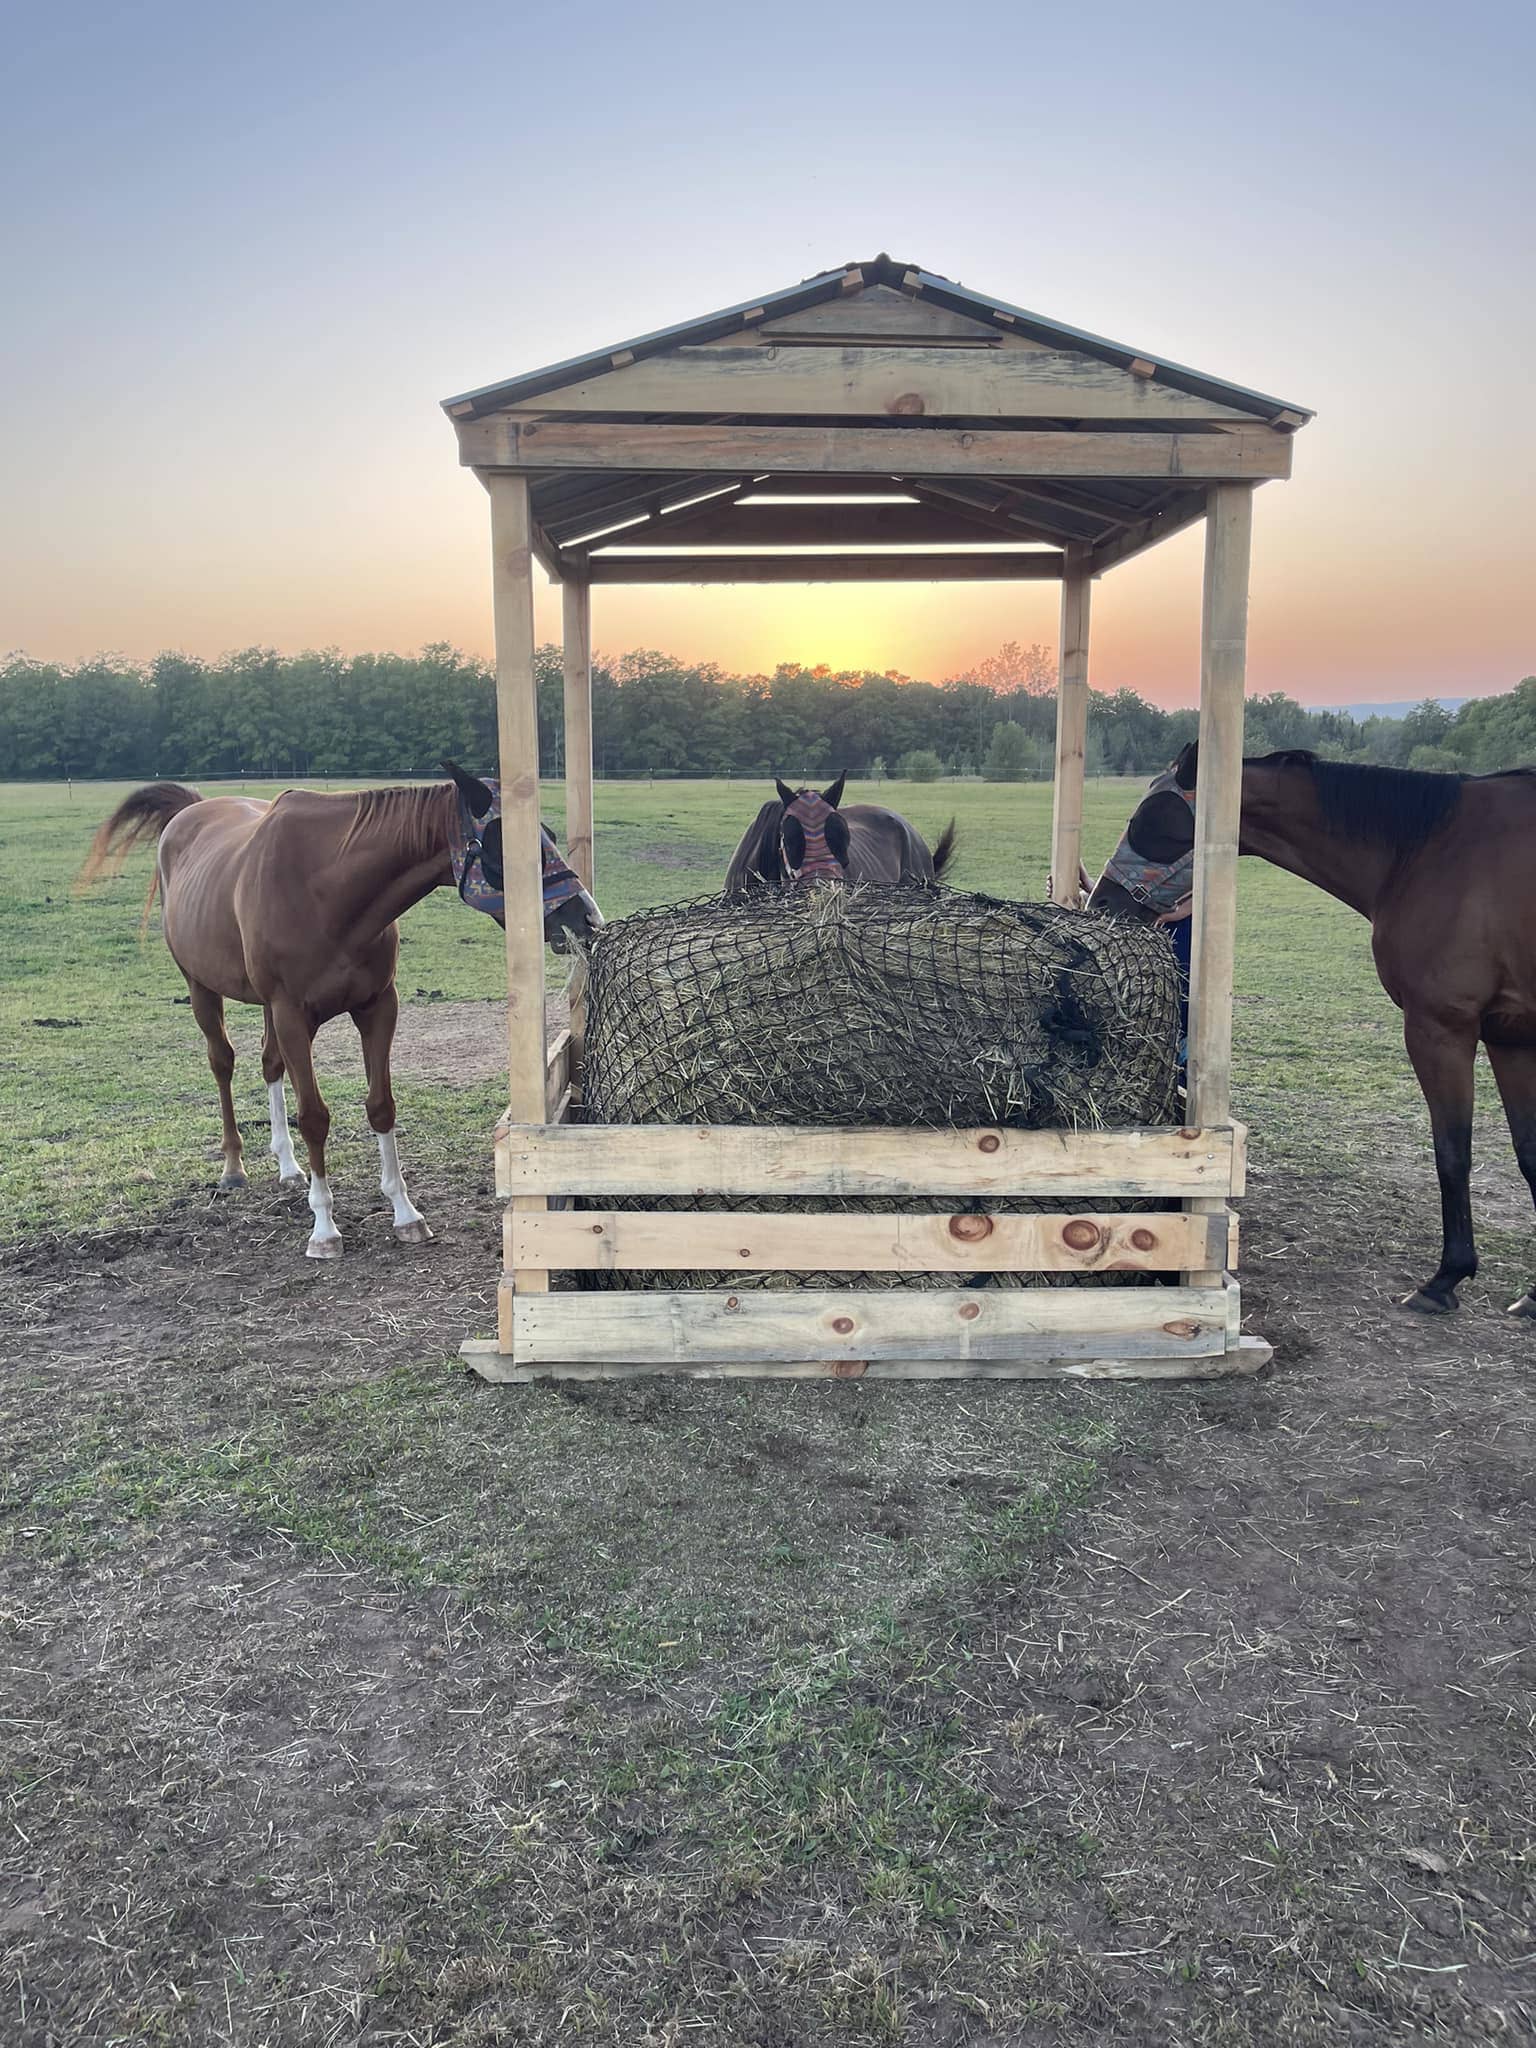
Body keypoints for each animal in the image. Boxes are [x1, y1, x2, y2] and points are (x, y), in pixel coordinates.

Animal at [76, 761, 602, 1260]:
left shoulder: (377, 1007)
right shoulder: (292, 1015)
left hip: (266, 1009)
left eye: (550, 837)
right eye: (504, 847)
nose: (586, 917)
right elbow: (314, 1117)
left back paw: (289, 1167)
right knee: (222, 1062)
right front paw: (324, 1228)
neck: (327, 891)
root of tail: (189, 812)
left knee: (269, 1063)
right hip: (201, 987)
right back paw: (233, 1166)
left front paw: (404, 1213)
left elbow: (381, 1106)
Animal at [1088, 741, 1536, 1318]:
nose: (1101, 902)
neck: (1426, 850)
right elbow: (1528, 1154)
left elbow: (1452, 1153)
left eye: (1149, 819)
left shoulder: (1441, 1028)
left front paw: (1446, 1278)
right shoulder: (1510, 1037)